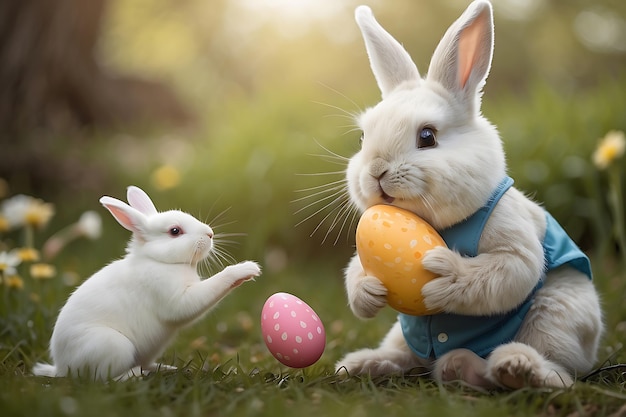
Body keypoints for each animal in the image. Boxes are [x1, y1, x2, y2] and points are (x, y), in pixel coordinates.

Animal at [31, 185, 260, 380]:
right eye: (175, 231)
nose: (210, 234)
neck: (159, 261)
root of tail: (61, 367)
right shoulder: (177, 299)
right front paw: (248, 269)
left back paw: (166, 368)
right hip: (114, 347)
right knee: (102, 378)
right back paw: (135, 375)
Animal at [334, 0, 604, 390]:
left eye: (427, 136)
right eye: (362, 138)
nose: (376, 172)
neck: (439, 223)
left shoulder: (513, 244)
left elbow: (508, 271)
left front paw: (443, 274)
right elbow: (356, 271)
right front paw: (367, 294)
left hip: (557, 314)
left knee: (558, 372)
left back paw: (505, 367)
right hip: (403, 334)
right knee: (409, 359)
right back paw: (364, 364)